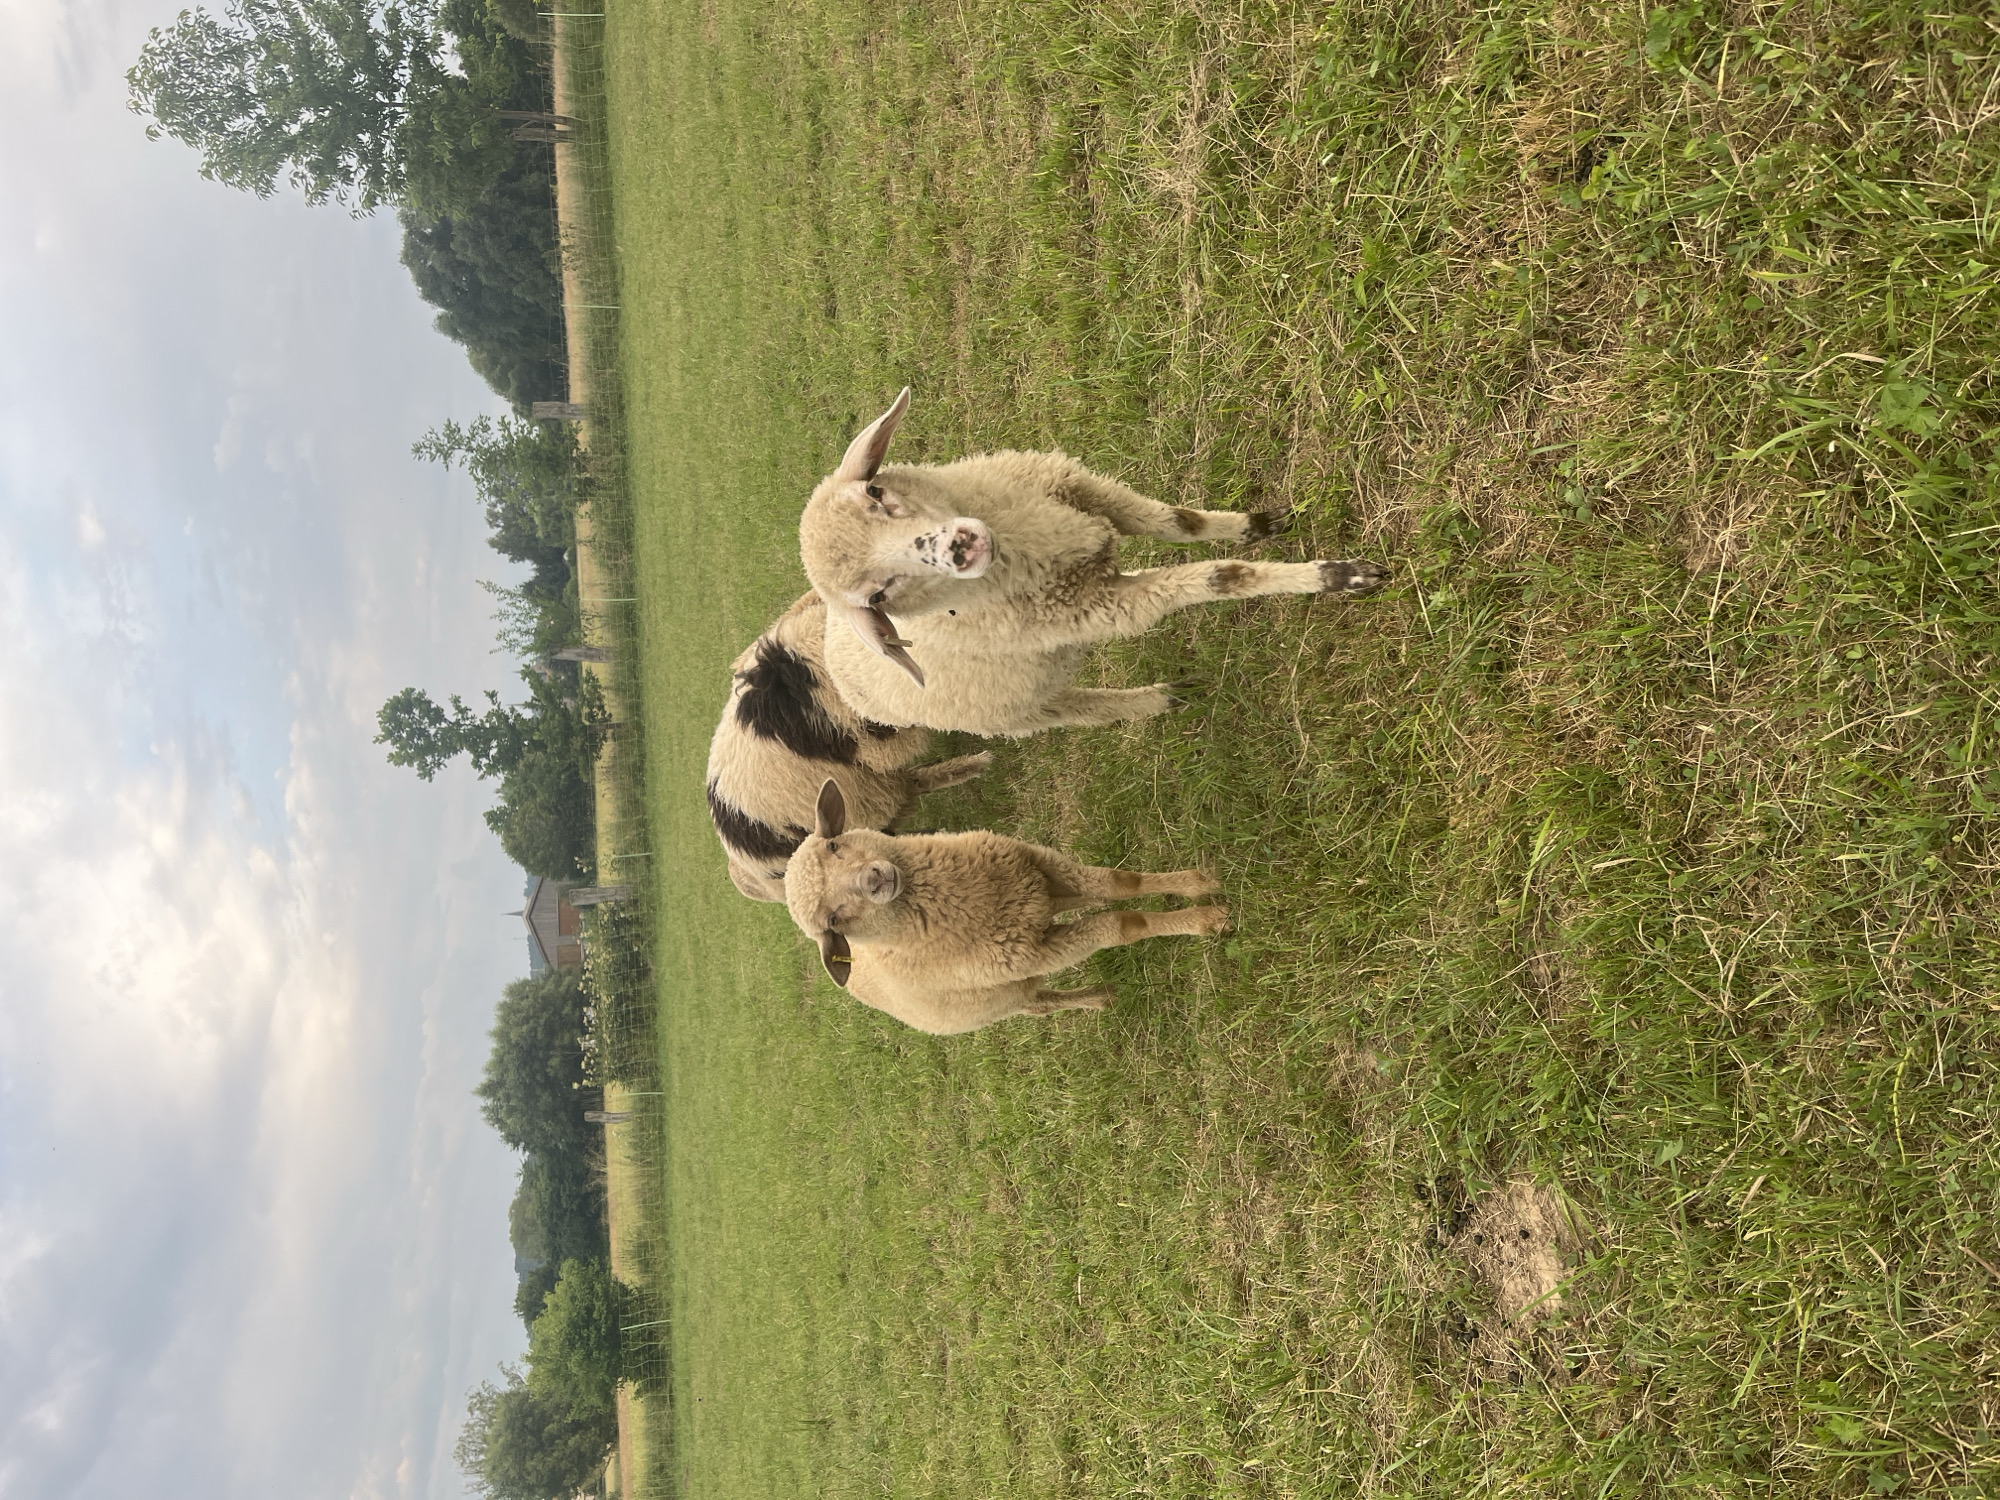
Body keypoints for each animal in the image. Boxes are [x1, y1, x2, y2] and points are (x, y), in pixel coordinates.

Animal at [784, 779, 1228, 1034]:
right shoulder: (1042, 951)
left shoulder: (1039, 863)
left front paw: (1197, 883)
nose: (874, 879)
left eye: (833, 845)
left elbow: (1121, 884)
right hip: (1003, 999)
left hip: (1036, 900)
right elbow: (1125, 924)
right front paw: (1206, 919)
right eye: (832, 920)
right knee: (1041, 1004)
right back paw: (1098, 998)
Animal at [797, 388, 1390, 736]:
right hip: (1017, 714)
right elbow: (1223, 576)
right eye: (877, 596)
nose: (959, 548)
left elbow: (1180, 523)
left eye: (875, 490)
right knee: (1077, 709)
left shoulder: (1086, 493)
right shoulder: (1109, 603)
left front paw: (1255, 526)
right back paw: (1159, 700)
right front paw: (1341, 576)